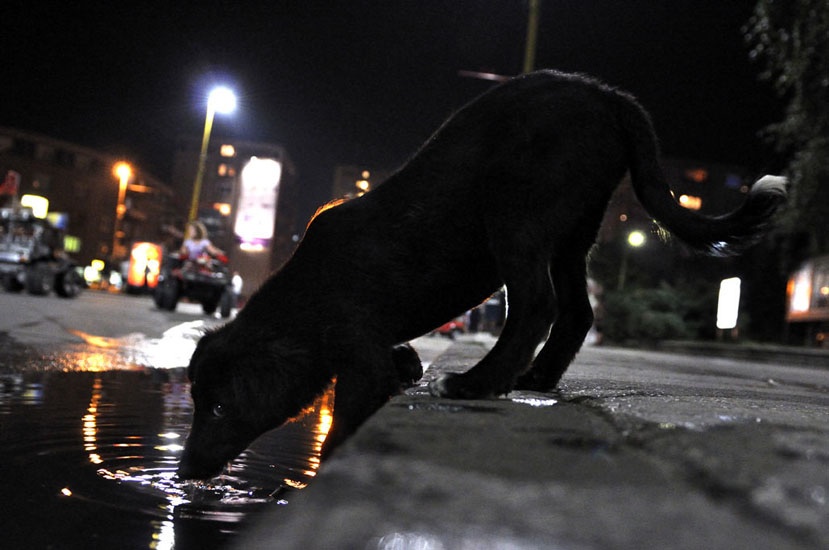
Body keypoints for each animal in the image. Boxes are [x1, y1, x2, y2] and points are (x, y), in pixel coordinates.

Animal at [178, 71, 784, 480]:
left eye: (219, 407)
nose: (182, 474)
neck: (303, 300)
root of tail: (607, 94)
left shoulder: (358, 353)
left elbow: (343, 425)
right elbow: (400, 363)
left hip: (514, 211)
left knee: (536, 306)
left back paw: (476, 382)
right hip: (572, 234)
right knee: (576, 311)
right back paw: (535, 379)